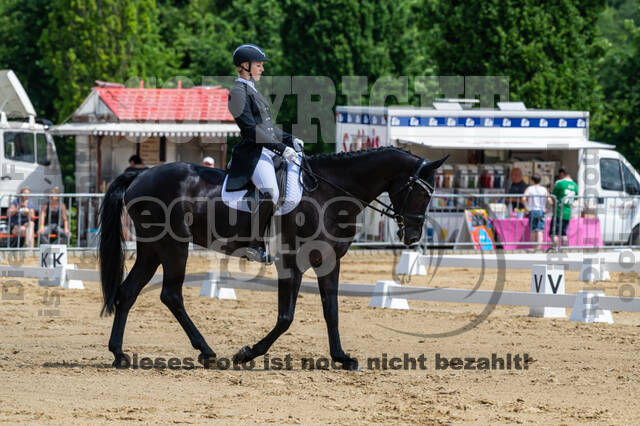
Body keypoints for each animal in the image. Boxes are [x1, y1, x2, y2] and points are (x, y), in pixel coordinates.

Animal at [99, 146, 447, 370]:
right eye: (421, 192)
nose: (412, 235)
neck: (329, 194)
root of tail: (140, 176)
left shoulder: (329, 261)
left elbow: (331, 311)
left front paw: (342, 358)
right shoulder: (292, 263)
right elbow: (286, 317)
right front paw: (247, 353)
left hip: (151, 249)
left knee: (128, 292)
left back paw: (119, 354)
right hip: (174, 247)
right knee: (171, 295)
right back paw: (207, 353)